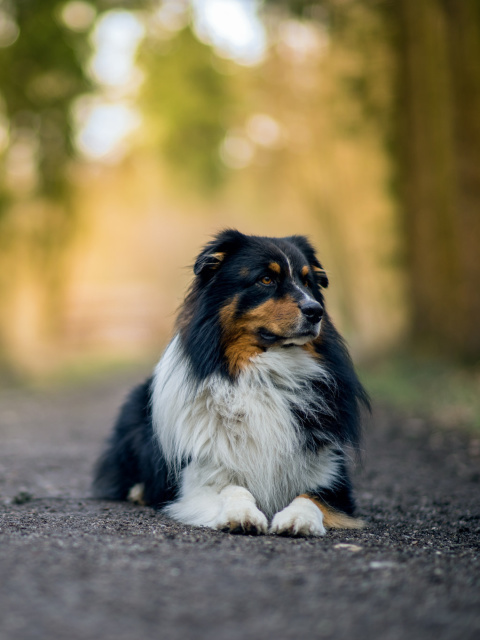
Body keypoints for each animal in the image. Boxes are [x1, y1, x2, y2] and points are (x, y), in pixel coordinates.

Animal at [94, 230, 372, 536]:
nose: (316, 311)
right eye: (266, 279)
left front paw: (298, 519)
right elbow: (233, 488)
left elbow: (309, 497)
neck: (263, 374)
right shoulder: (198, 477)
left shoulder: (331, 477)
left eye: (308, 282)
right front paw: (242, 515)